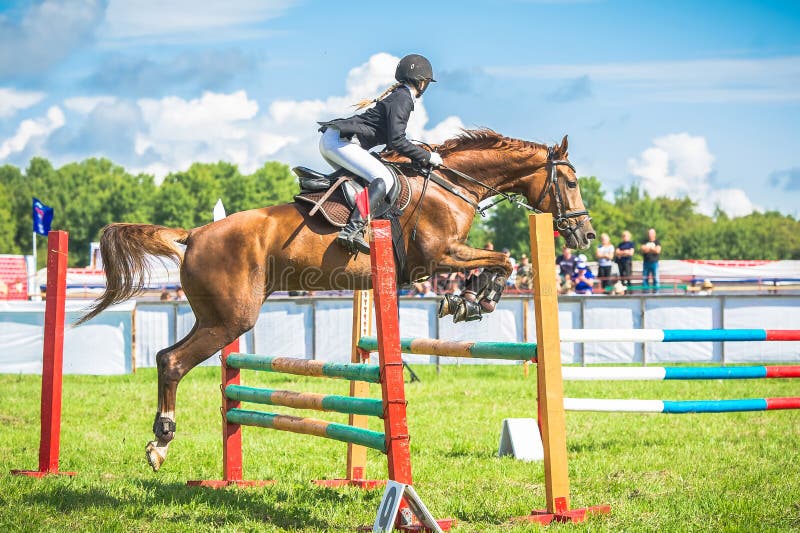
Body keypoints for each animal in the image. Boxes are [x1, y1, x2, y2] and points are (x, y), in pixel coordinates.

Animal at [79, 129, 592, 470]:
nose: (584, 235)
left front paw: (470, 299)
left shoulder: (445, 258)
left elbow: (497, 261)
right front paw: (471, 300)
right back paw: (160, 442)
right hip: (230, 319)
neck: (453, 185)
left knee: (170, 357)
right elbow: (503, 259)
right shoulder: (438, 256)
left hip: (214, 316)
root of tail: (195, 233)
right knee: (171, 361)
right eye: (570, 182)